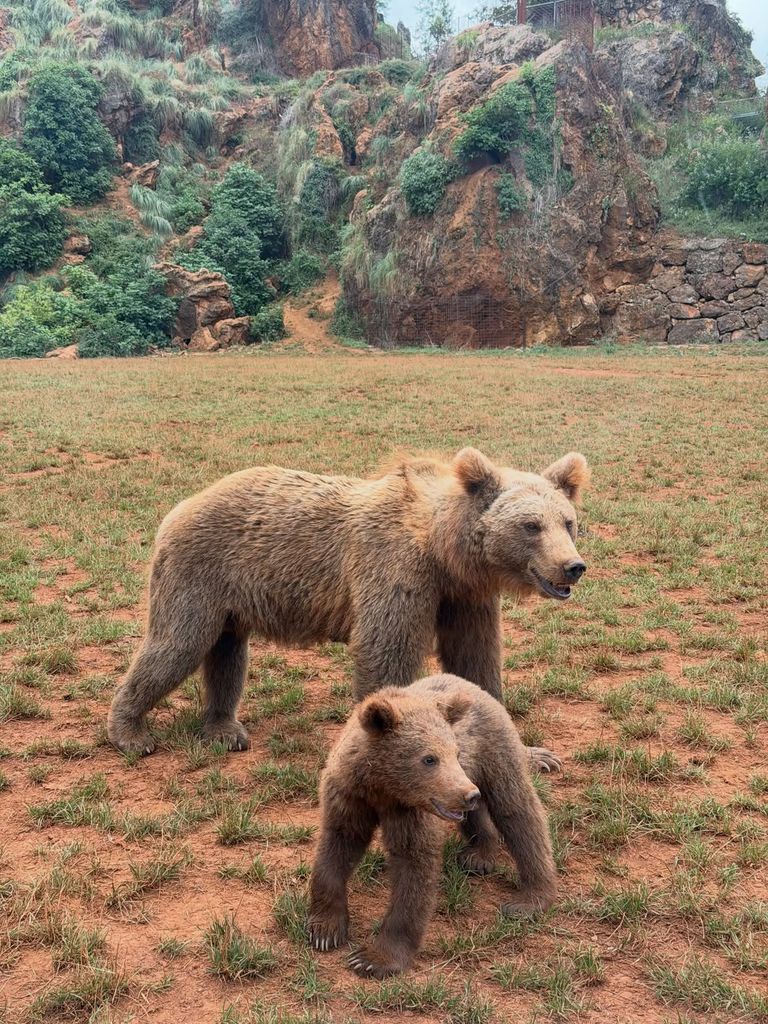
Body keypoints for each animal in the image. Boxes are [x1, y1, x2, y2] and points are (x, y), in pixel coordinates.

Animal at [107, 447, 589, 758]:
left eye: (568, 522)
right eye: (531, 525)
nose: (572, 567)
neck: (443, 551)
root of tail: (183, 502)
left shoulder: (464, 598)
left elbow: (476, 662)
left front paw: (533, 754)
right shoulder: (395, 571)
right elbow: (386, 653)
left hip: (231, 598)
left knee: (227, 655)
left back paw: (225, 728)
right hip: (199, 570)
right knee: (177, 644)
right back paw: (131, 732)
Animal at [308, 673, 558, 979]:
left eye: (454, 752)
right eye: (429, 758)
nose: (469, 794)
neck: (383, 790)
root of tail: (468, 684)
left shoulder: (410, 814)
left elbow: (414, 870)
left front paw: (373, 958)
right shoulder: (348, 797)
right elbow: (335, 850)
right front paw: (325, 930)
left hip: (494, 753)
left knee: (519, 812)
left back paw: (530, 897)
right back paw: (479, 855)